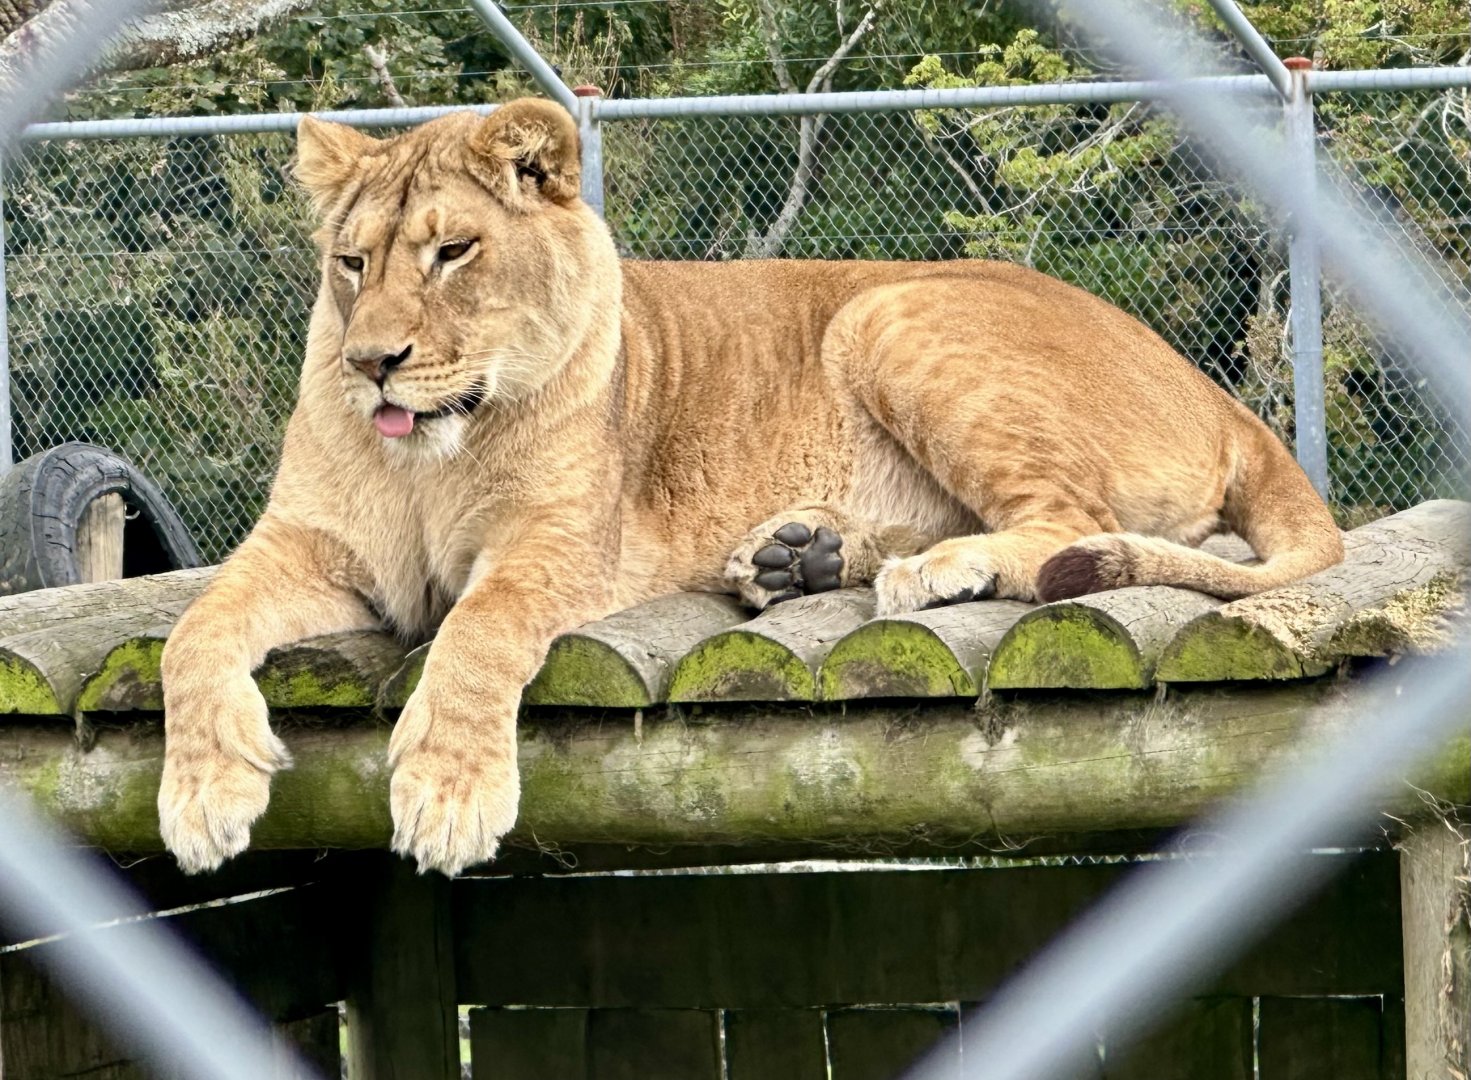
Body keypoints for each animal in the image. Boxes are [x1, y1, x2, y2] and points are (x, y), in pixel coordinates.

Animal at [158, 99, 1343, 876]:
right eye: (352, 262)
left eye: (453, 252)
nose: (372, 363)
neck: (427, 466)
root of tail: (1220, 396)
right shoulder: (305, 544)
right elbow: (193, 631)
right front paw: (204, 795)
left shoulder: (561, 547)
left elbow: (478, 635)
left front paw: (448, 795)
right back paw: (796, 558)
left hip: (889, 310)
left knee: (1068, 524)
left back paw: (931, 571)